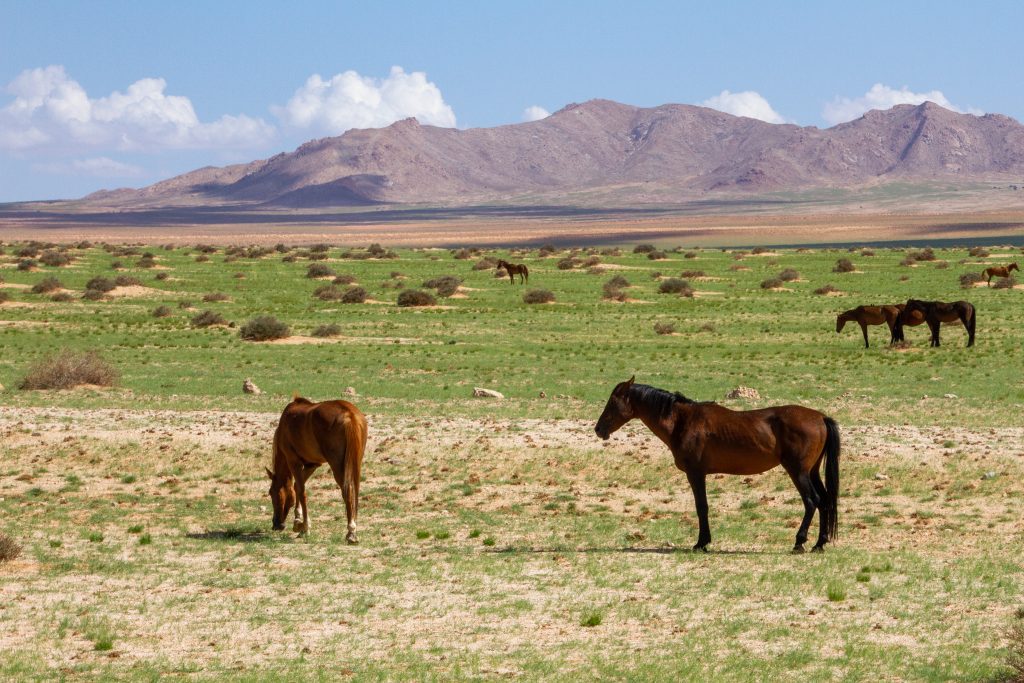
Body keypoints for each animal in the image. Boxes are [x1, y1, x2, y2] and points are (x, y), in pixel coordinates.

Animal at [265, 394, 367, 543]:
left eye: (271, 492)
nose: (276, 524)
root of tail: (349, 414)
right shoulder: (312, 464)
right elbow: (297, 487)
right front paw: (298, 522)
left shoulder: (293, 461)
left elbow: (301, 491)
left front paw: (305, 527)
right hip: (355, 463)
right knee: (355, 491)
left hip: (338, 466)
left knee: (347, 491)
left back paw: (351, 532)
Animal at [595, 377, 840, 553]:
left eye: (612, 402)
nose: (598, 429)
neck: (682, 422)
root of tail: (820, 417)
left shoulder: (696, 473)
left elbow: (701, 506)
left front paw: (701, 543)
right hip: (812, 472)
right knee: (825, 501)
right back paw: (819, 544)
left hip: (798, 472)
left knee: (812, 501)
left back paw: (799, 542)